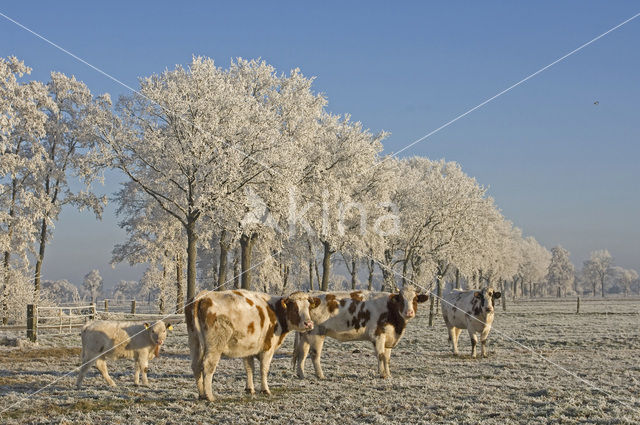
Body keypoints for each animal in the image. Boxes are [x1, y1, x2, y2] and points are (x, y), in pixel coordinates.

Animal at [185, 286, 320, 400]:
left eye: (309, 307)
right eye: (295, 307)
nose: (309, 324)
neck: (275, 311)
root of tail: (202, 296)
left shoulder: (248, 348)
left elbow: (249, 368)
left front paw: (250, 389)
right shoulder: (268, 348)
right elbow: (263, 369)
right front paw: (265, 390)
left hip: (194, 342)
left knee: (196, 366)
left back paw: (202, 394)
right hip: (215, 345)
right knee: (208, 366)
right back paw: (209, 396)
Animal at [292, 284, 428, 378]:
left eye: (415, 299)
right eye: (401, 299)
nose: (409, 312)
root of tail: (310, 296)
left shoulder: (389, 338)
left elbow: (387, 358)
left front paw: (388, 375)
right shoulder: (378, 335)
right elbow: (381, 355)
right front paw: (382, 375)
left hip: (305, 334)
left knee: (302, 353)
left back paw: (301, 375)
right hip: (317, 333)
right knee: (314, 354)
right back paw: (320, 375)